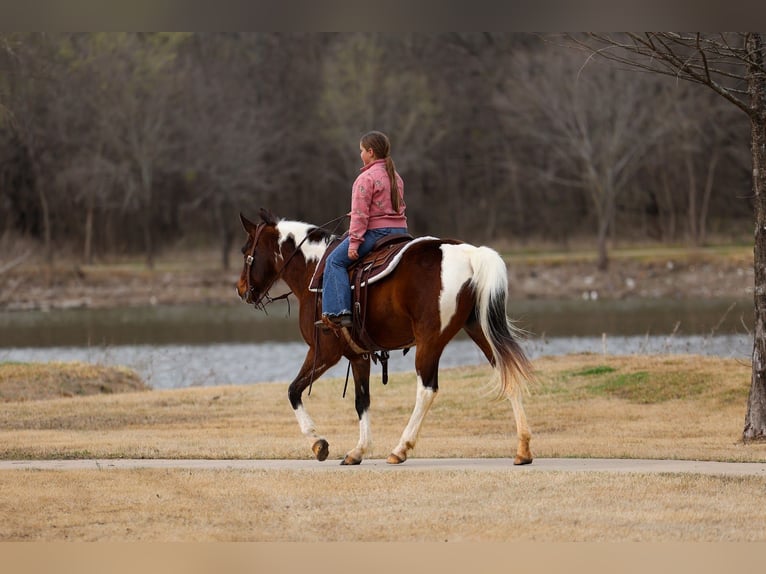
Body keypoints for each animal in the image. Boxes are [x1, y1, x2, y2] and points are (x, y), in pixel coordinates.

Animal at [236, 208, 534, 466]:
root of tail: (467, 252)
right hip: (480, 331)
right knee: (507, 372)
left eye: (245, 251)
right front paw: (358, 451)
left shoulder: (325, 352)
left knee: (427, 390)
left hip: (430, 341)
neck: (314, 268)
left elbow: (293, 390)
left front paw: (318, 442)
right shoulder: (358, 356)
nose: (240, 289)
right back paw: (523, 448)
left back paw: (401, 448)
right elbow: (362, 401)